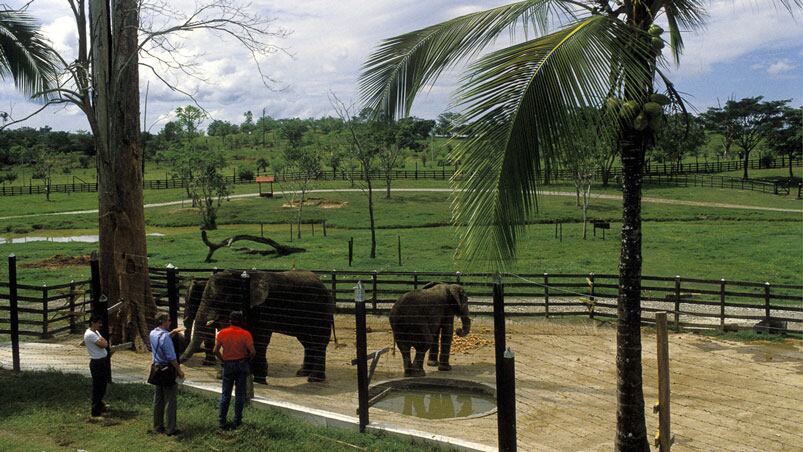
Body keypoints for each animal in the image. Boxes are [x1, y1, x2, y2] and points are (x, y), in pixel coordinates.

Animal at [181, 270, 334, 384]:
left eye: (221, 299)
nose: (180, 361)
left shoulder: (262, 308)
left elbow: (260, 338)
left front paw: (258, 379)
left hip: (321, 310)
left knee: (319, 341)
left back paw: (313, 379)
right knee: (307, 341)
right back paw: (302, 373)